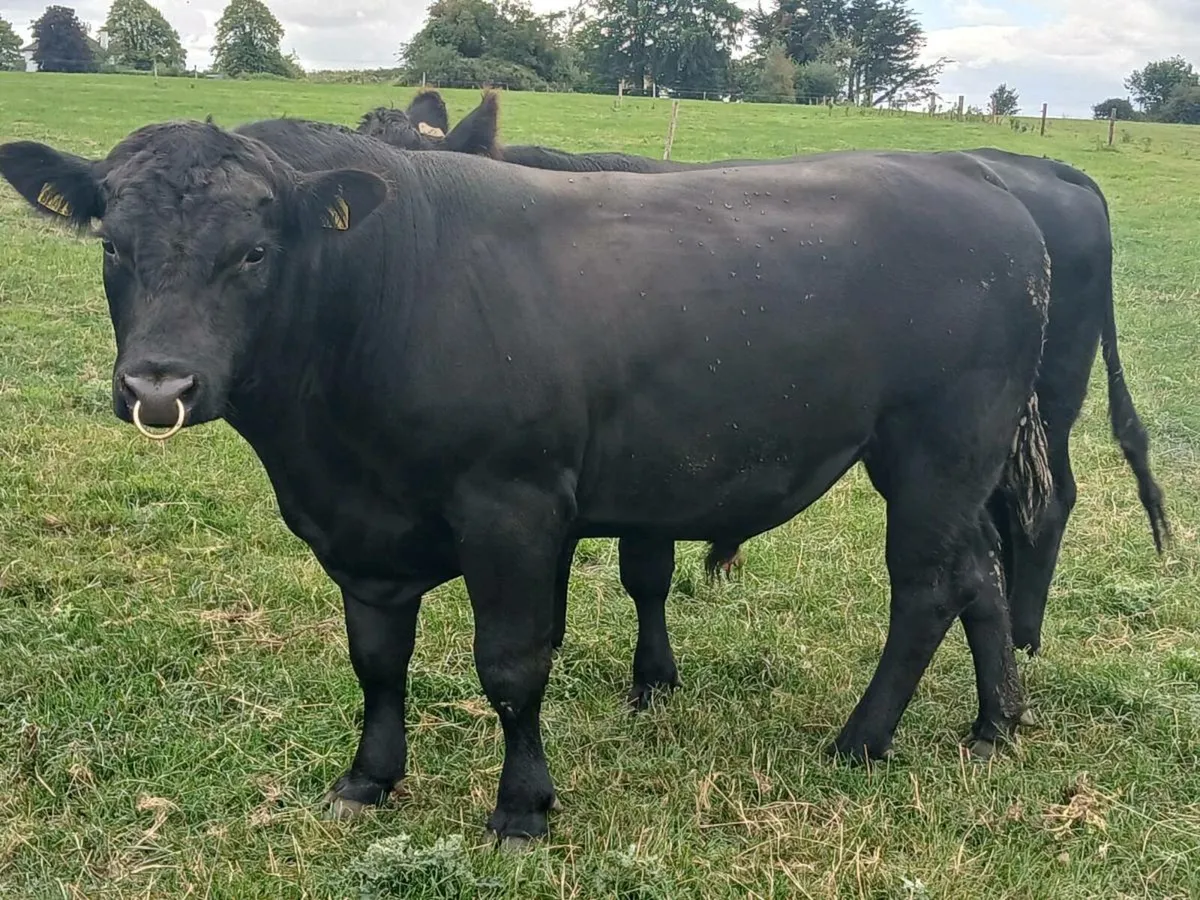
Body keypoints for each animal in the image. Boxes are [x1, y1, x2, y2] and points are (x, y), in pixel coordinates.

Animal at [0, 119, 1053, 842]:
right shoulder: (362, 532)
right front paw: (367, 780)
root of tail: (979, 177)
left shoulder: (511, 506)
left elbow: (511, 664)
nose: (159, 385)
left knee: (926, 588)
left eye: (254, 252)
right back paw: (994, 725)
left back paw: (860, 740)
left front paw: (522, 809)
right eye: (112, 245)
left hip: (938, 447)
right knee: (980, 574)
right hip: (957, 465)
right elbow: (377, 659)